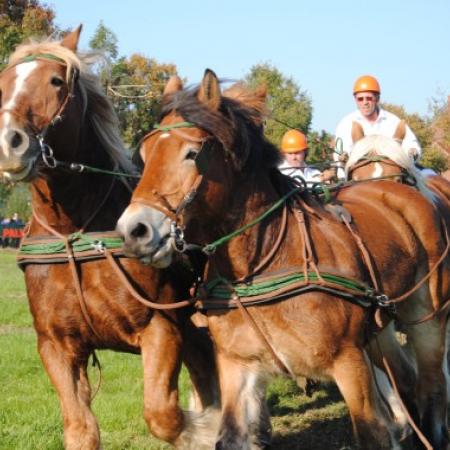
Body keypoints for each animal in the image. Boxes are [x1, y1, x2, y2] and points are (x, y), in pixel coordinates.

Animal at [0, 28, 220, 450]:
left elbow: (164, 416)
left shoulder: (161, 328)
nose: (9, 143)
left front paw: (203, 430)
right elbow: (81, 429)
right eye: (1, 84)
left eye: (56, 81)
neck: (75, 232)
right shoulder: (55, 344)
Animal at [115, 68, 450, 448]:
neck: (261, 264)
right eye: (144, 154)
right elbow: (230, 436)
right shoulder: (238, 365)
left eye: (191, 153)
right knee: (406, 381)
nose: (134, 230)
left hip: (427, 320)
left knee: (432, 389)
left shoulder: (349, 361)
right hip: (381, 331)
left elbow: (372, 433)